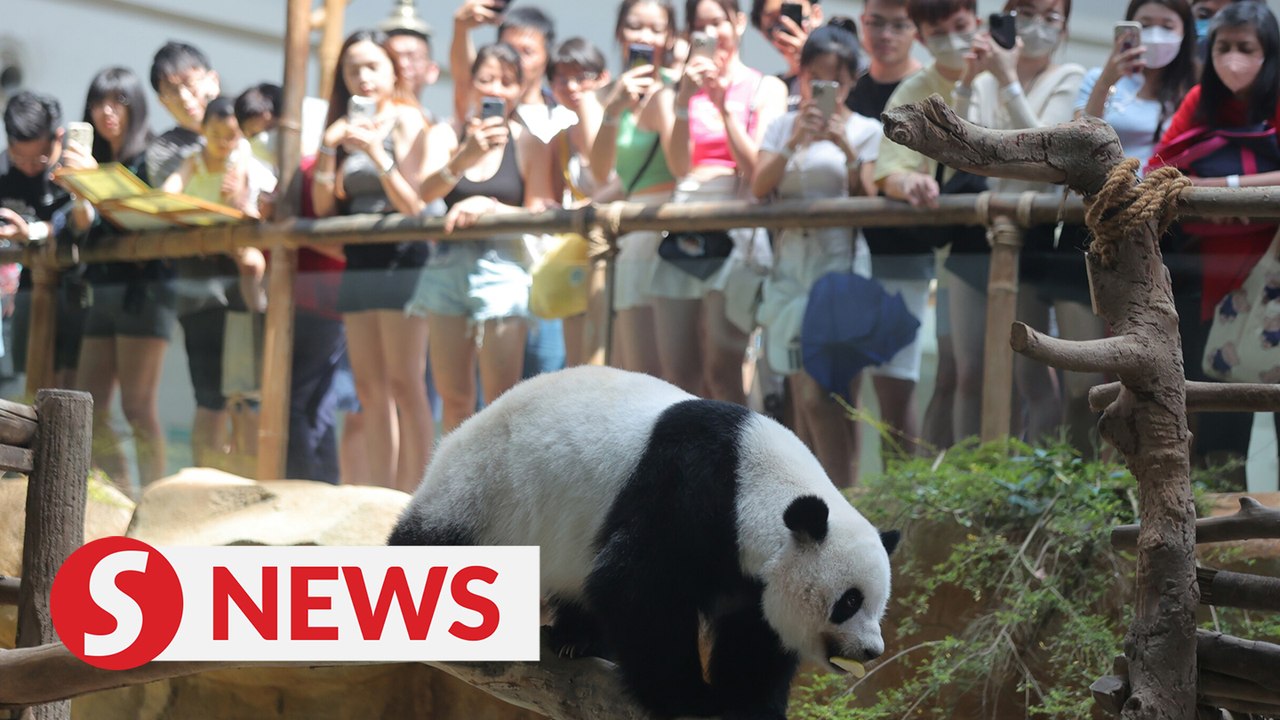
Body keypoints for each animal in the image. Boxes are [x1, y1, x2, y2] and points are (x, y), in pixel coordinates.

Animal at [389, 366, 898, 719]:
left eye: (878, 604)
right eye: (849, 601)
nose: (871, 651)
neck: (753, 477)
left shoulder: (744, 566)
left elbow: (753, 629)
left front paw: (749, 702)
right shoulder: (686, 493)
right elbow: (636, 588)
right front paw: (691, 698)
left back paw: (576, 638)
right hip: (485, 491)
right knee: (434, 543)